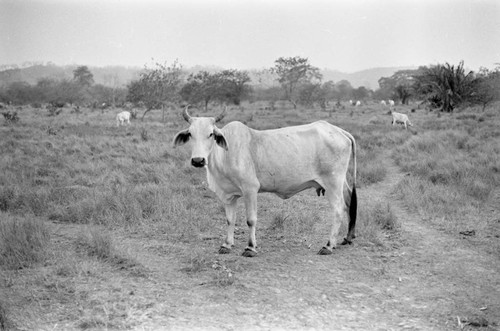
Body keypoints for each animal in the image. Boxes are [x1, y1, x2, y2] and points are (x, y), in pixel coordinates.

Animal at [174, 107, 358, 258]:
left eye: (211, 134)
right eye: (190, 134)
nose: (198, 160)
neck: (224, 154)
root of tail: (339, 130)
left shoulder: (250, 189)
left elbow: (250, 219)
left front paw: (250, 248)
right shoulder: (228, 194)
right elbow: (230, 220)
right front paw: (226, 245)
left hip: (333, 182)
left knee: (338, 209)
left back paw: (328, 245)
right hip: (340, 183)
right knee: (350, 201)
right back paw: (347, 238)